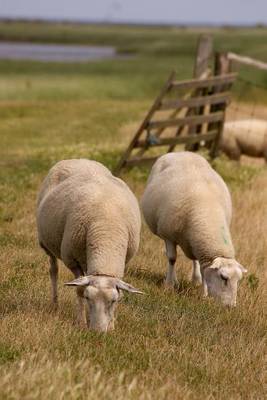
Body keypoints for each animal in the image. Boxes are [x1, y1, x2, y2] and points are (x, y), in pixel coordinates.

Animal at [37, 159, 144, 332]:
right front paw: (81, 322)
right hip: (47, 243)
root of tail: (78, 159)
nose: (97, 332)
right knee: (53, 269)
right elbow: (79, 289)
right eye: (88, 298)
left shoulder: (124, 261)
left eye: (113, 301)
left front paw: (112, 325)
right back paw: (54, 304)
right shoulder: (72, 260)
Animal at [141, 151, 248, 306]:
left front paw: (203, 294)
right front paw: (169, 284)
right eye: (223, 277)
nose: (230, 307)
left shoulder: (201, 246)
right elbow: (172, 259)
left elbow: (204, 270)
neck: (208, 212)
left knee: (196, 260)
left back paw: (195, 279)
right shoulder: (168, 235)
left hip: (194, 241)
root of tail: (183, 152)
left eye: (238, 280)